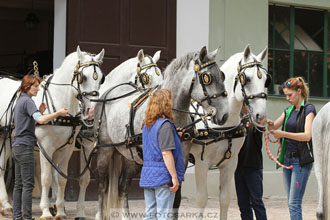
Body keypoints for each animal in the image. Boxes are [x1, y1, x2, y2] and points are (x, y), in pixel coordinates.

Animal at [0, 45, 104, 220]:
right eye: (83, 77)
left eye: (101, 78)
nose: (91, 111)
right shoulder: (46, 146)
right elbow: (46, 178)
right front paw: (46, 211)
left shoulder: (66, 149)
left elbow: (62, 178)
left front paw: (60, 210)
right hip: (4, 140)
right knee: (1, 168)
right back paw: (6, 205)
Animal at [75, 49, 162, 219]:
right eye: (146, 78)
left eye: (160, 74)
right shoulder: (94, 147)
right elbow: (93, 181)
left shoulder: (125, 152)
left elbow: (120, 185)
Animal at [189, 44, 270, 218]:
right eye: (247, 78)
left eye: (266, 80)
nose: (261, 116)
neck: (221, 126)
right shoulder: (201, 162)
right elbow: (201, 200)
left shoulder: (230, 164)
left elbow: (225, 199)